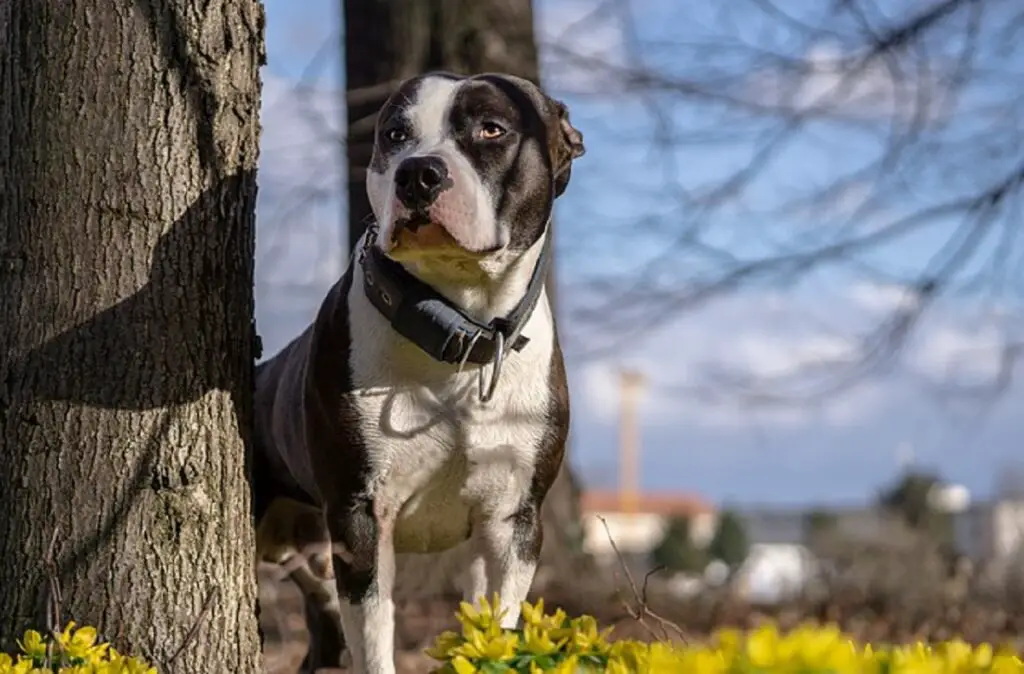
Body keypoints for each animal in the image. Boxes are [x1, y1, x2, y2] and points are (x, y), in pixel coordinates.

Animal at [250, 70, 585, 667]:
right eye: (394, 135)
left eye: (491, 129)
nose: (418, 172)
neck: (459, 332)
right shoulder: (361, 519)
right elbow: (376, 644)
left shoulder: (512, 524)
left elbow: (496, 626)